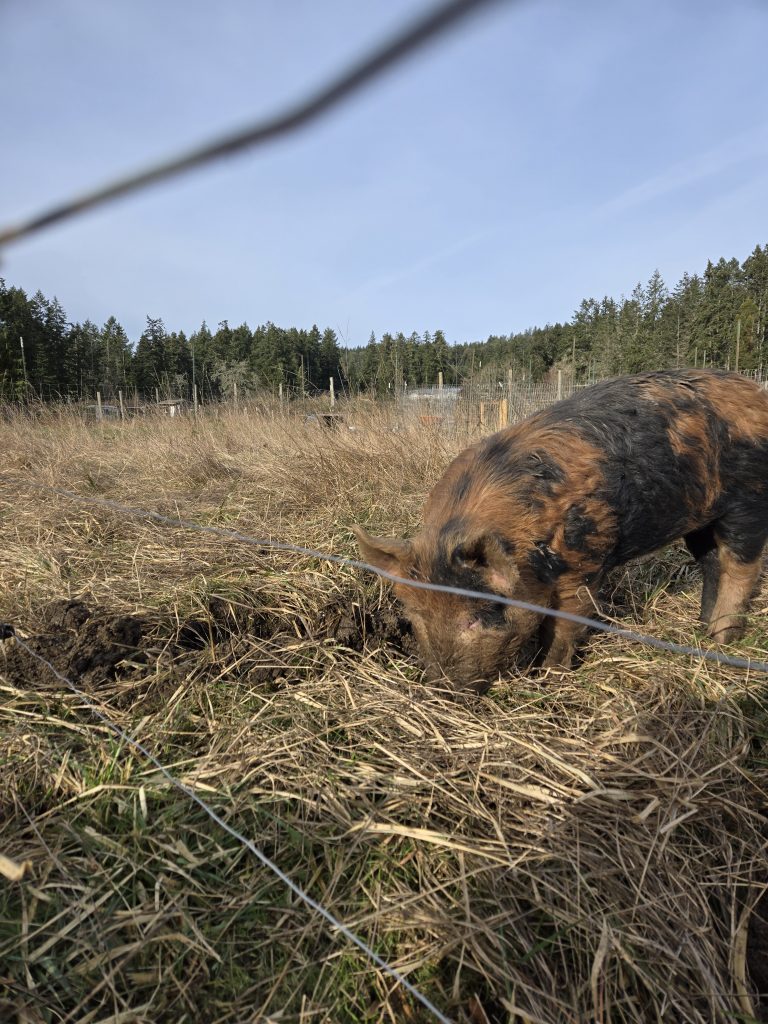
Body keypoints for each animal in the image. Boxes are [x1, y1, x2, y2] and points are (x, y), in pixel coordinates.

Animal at [353, 370, 768, 693]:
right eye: (415, 614)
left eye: (477, 616)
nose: (444, 690)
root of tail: (757, 393)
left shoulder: (585, 561)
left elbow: (566, 623)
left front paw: (547, 678)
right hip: (701, 518)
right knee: (711, 562)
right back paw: (701, 631)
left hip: (747, 501)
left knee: (742, 567)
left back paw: (721, 641)